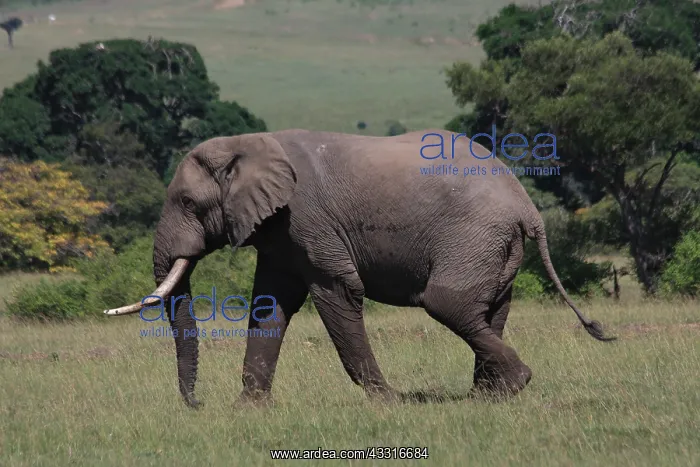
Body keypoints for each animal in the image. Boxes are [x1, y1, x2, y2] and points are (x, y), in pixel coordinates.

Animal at [104, 128, 615, 408]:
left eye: (189, 203)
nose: (197, 403)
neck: (246, 145)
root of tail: (528, 206)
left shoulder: (307, 218)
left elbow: (336, 291)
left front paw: (387, 403)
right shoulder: (281, 231)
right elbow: (270, 304)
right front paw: (247, 410)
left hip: (475, 237)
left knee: (447, 303)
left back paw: (515, 383)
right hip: (495, 248)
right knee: (490, 311)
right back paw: (487, 398)